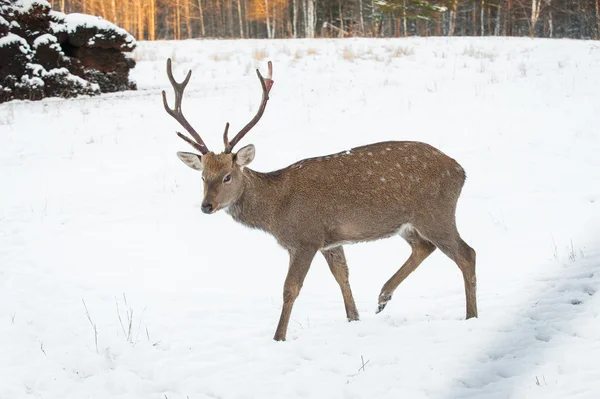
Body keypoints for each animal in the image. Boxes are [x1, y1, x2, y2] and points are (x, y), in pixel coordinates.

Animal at [161, 57, 478, 342]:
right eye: (203, 176)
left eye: (227, 176)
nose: (206, 206)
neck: (276, 211)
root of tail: (460, 170)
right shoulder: (331, 240)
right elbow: (343, 276)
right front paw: (353, 318)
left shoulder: (306, 238)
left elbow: (290, 288)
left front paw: (278, 337)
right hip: (408, 223)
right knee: (424, 247)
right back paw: (383, 296)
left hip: (436, 211)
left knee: (466, 253)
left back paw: (471, 316)